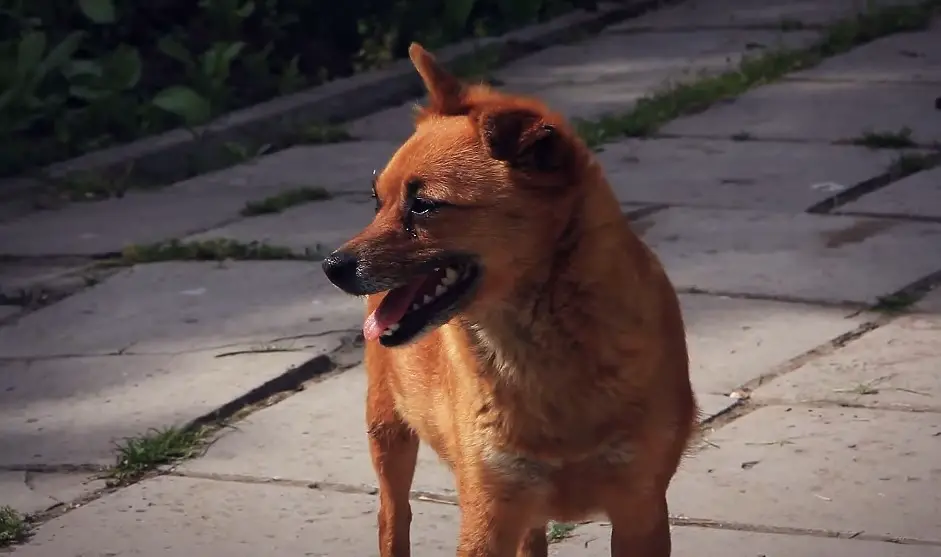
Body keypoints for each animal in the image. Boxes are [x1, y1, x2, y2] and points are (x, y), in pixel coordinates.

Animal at [324, 43, 696, 556]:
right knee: (392, 518)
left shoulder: (640, 510)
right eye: (377, 200)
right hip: (389, 434)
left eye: (424, 205)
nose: (331, 266)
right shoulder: (489, 510)